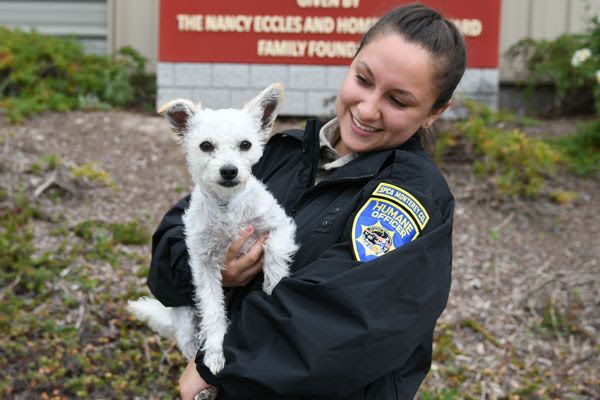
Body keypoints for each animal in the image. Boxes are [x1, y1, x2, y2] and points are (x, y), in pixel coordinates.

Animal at [128, 83, 298, 376]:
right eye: (205, 146)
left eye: (245, 145)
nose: (229, 171)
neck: (227, 207)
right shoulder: (204, 265)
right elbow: (212, 310)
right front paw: (215, 352)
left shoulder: (280, 224)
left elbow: (275, 253)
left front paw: (272, 286)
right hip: (185, 319)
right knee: (189, 338)